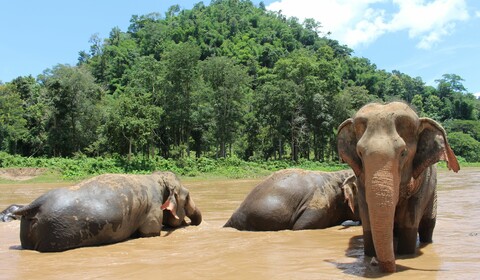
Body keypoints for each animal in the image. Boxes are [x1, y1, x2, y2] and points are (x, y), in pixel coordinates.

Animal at [0, 172, 202, 253]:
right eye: (187, 197)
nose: (191, 222)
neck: (157, 178)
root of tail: (35, 204)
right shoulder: (152, 209)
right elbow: (149, 233)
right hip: (55, 233)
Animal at [336, 101, 460, 272]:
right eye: (360, 153)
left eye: (403, 153)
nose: (375, 263)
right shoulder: (360, 181)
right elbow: (367, 216)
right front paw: (369, 256)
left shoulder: (423, 181)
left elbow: (410, 219)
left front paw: (405, 254)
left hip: (433, 192)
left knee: (428, 225)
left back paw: (426, 242)